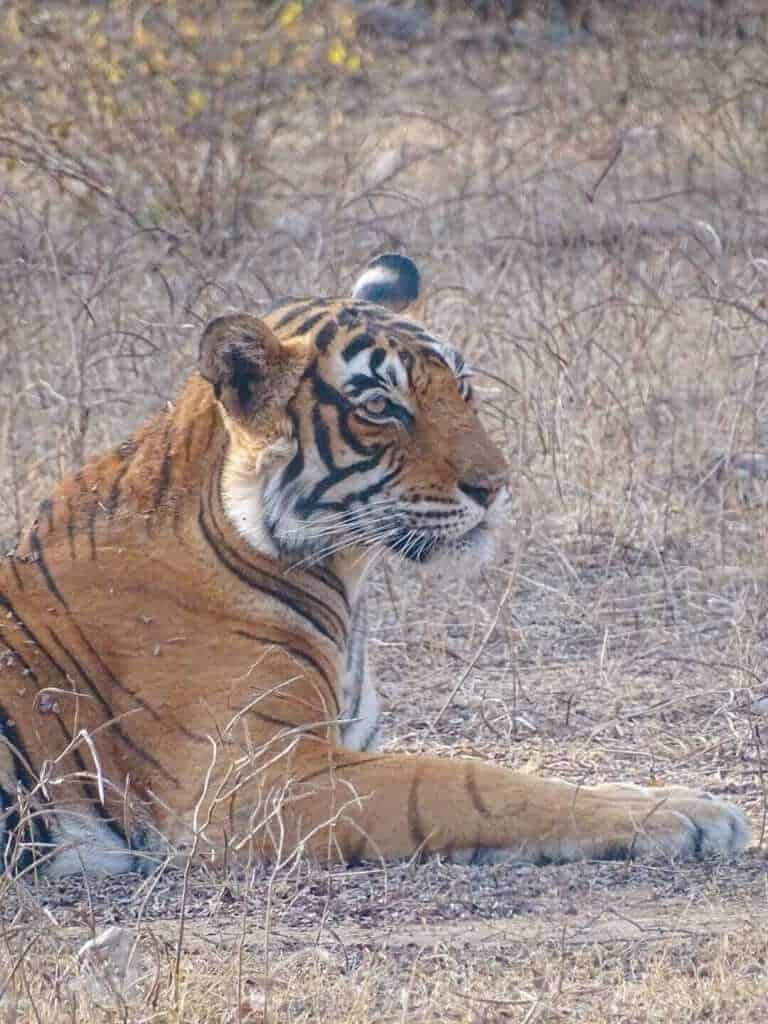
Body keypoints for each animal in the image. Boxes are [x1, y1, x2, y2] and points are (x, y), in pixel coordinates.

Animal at [0, 251, 749, 876]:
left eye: (463, 388)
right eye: (382, 407)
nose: (496, 485)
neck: (341, 580)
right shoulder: (251, 783)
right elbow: (462, 782)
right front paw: (690, 815)